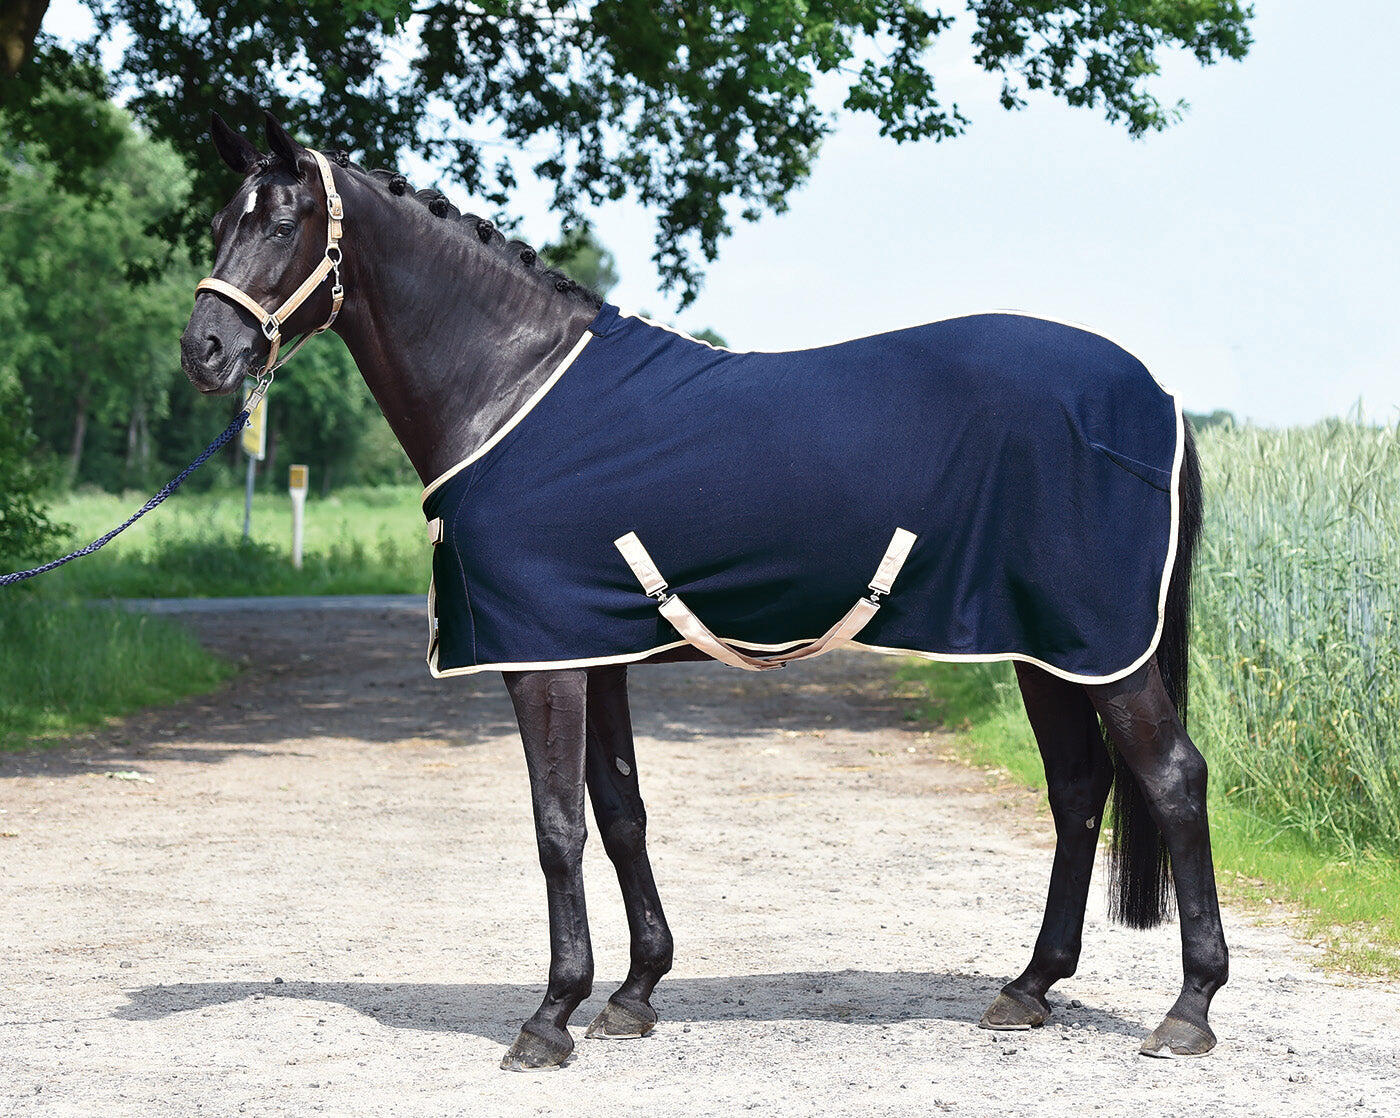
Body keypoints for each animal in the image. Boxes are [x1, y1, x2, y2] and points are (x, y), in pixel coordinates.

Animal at [179, 111, 1228, 1070]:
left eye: (282, 224)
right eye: (222, 220)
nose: (205, 349)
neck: (508, 381)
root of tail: (1157, 397)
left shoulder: (541, 660)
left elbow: (557, 825)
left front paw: (549, 1017)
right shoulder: (591, 648)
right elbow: (620, 813)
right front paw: (633, 993)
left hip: (1103, 649)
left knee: (1172, 778)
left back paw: (1189, 1010)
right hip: (1046, 649)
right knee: (1079, 788)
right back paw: (1030, 987)